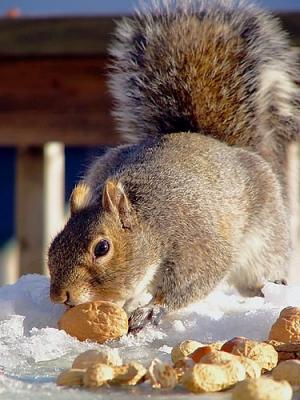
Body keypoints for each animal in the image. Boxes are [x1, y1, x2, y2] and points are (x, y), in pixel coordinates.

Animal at [48, 0, 298, 332]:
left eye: (102, 248)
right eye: (55, 242)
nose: (60, 295)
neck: (150, 224)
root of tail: (222, 146)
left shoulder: (194, 244)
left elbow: (194, 280)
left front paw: (152, 310)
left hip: (264, 238)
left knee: (262, 269)